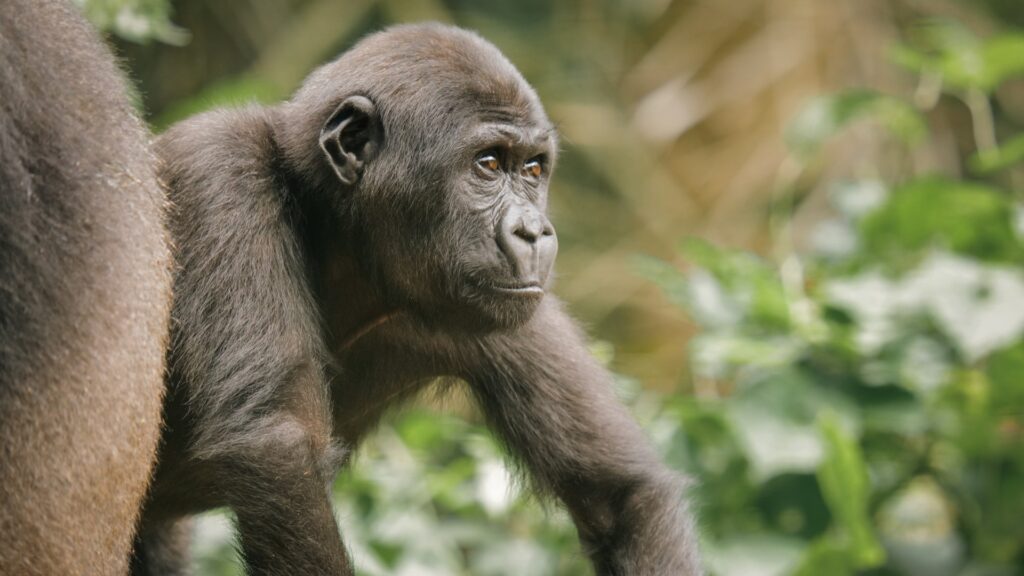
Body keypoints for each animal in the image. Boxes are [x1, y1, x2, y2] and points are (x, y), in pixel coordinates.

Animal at [135, 23, 702, 576]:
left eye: (534, 170)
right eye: (488, 163)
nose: (534, 232)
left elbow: (622, 493)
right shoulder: (223, 171)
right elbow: (276, 446)